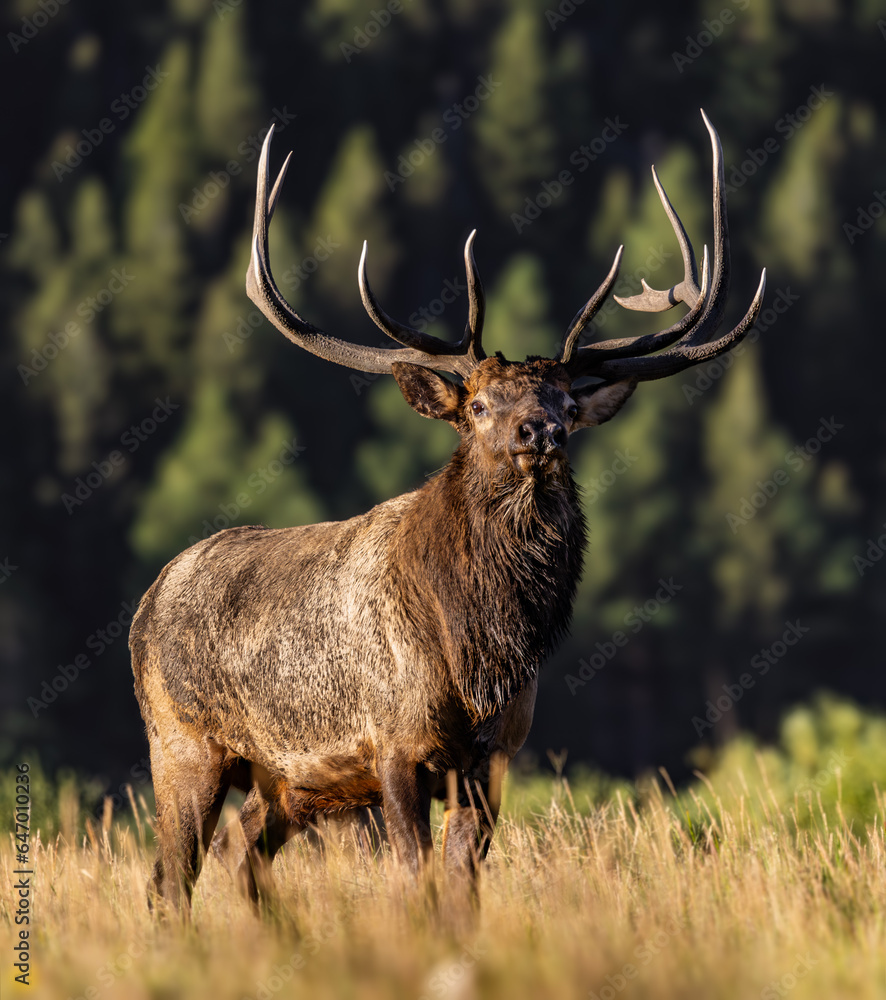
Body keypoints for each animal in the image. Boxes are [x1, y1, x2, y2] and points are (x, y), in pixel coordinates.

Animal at [129, 110, 766, 910]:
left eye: (566, 403)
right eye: (481, 404)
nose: (541, 432)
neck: (477, 648)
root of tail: (147, 600)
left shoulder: (494, 758)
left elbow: (463, 888)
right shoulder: (393, 743)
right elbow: (414, 877)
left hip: (285, 782)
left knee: (241, 855)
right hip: (182, 743)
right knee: (169, 876)